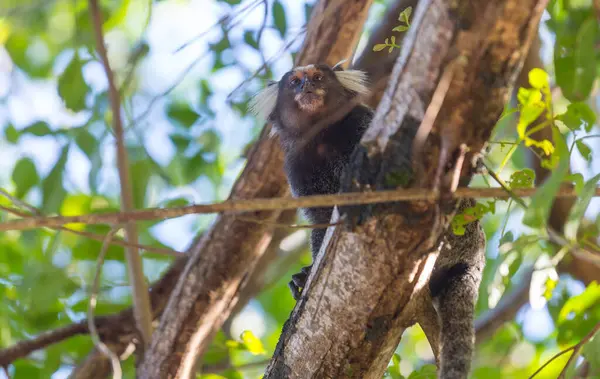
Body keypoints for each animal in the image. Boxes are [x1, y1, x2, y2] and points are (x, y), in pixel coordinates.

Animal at [248, 63, 488, 379]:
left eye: (318, 77)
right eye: (295, 82)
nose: (307, 87)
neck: (322, 136)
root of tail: (474, 257)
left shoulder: (362, 125)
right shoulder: (297, 164)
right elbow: (320, 218)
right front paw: (305, 275)